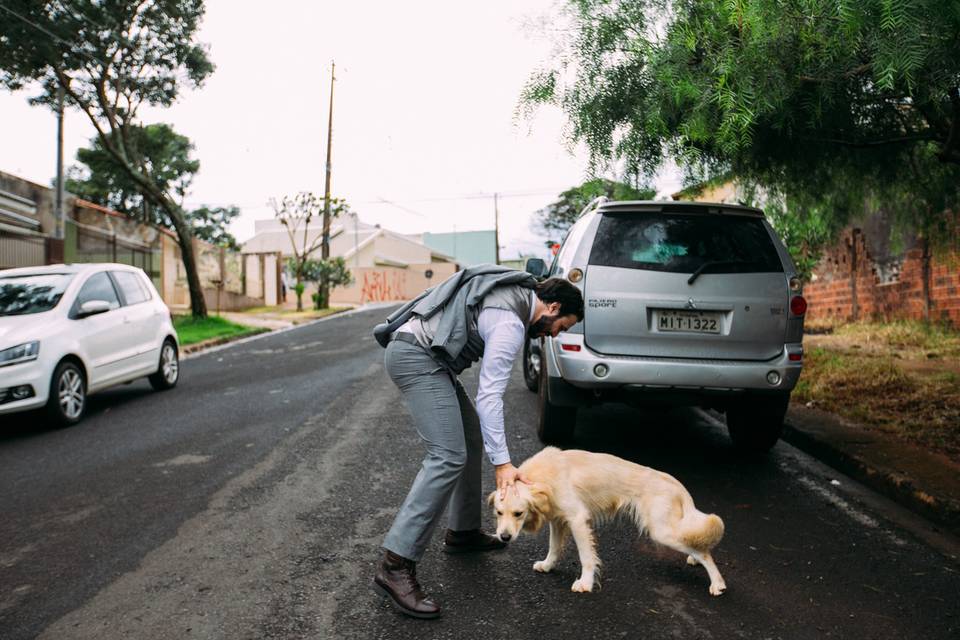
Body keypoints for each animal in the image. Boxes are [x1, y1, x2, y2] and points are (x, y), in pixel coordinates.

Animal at [492, 450, 724, 596]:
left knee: (704, 552)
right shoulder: (558, 521)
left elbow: (586, 557)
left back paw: (717, 584)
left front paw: (585, 583)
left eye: (519, 513)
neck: (543, 477)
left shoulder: (578, 519)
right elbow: (554, 548)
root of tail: (673, 481)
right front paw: (547, 565)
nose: (504, 537)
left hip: (662, 531)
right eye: (498, 513)